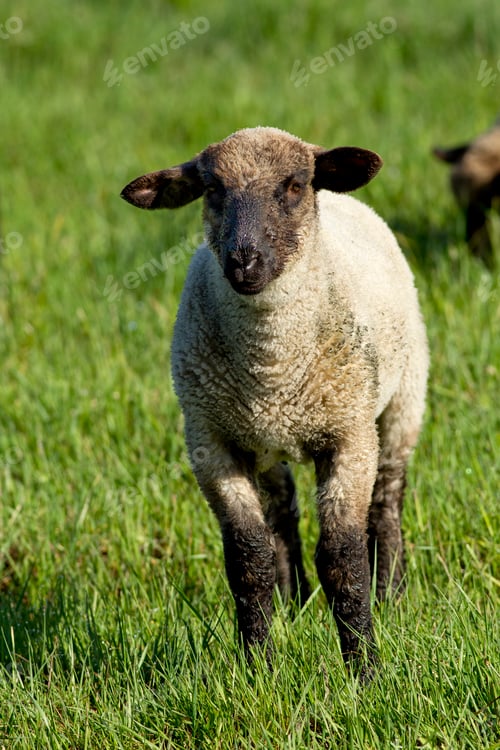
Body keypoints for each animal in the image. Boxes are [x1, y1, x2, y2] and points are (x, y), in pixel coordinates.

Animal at [121, 126, 429, 676]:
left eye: (296, 184)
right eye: (212, 189)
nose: (244, 260)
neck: (272, 367)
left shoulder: (350, 435)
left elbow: (342, 557)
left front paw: (364, 669)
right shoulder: (211, 444)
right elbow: (248, 558)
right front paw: (257, 666)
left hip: (405, 397)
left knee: (387, 500)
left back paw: (391, 593)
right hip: (262, 442)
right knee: (281, 513)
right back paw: (292, 603)